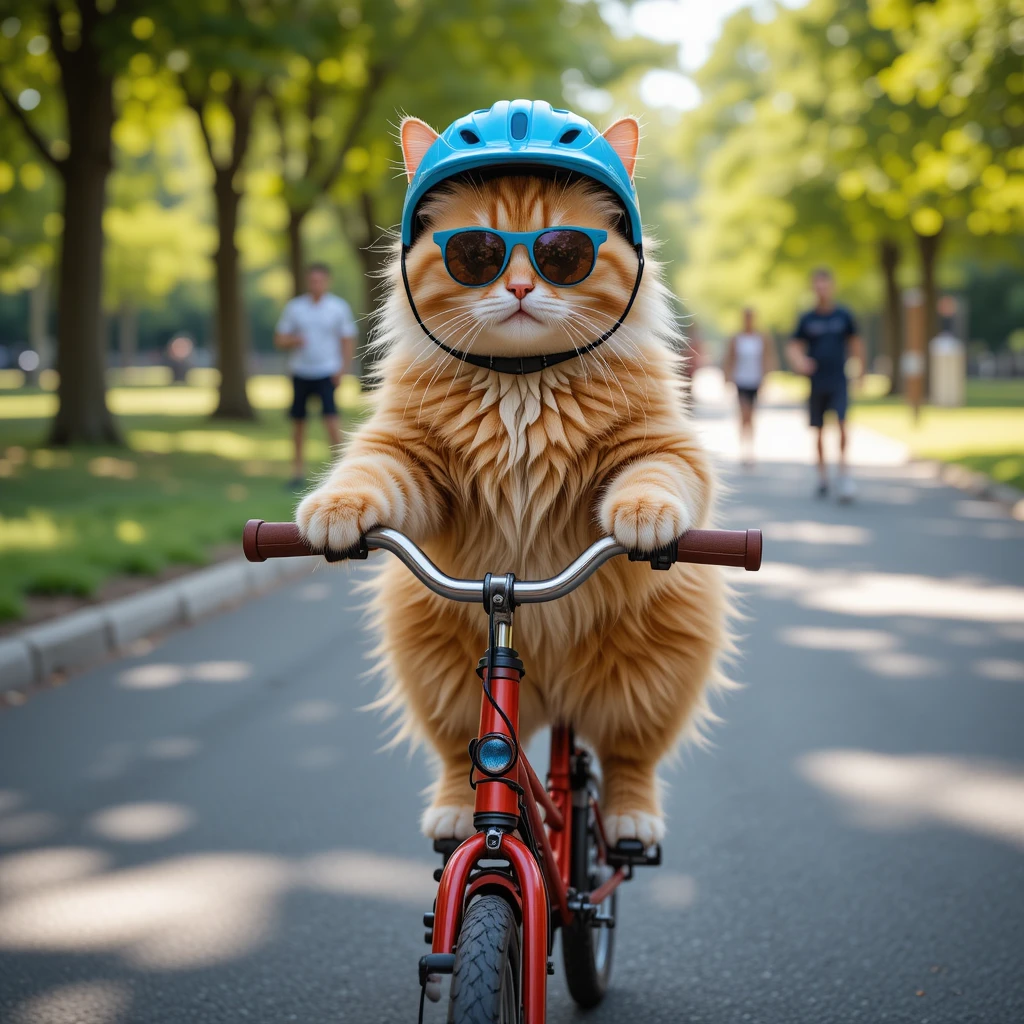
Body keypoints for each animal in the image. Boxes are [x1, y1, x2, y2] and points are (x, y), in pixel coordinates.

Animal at [292, 114, 733, 847]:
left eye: (562, 252)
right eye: (478, 253)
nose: (522, 289)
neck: (521, 381)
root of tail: (553, 692)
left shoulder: (663, 447)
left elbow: (654, 478)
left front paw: (642, 518)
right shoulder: (408, 458)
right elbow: (365, 475)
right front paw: (334, 510)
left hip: (651, 677)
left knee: (630, 758)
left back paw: (632, 820)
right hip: (437, 671)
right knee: (458, 755)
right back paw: (451, 813)